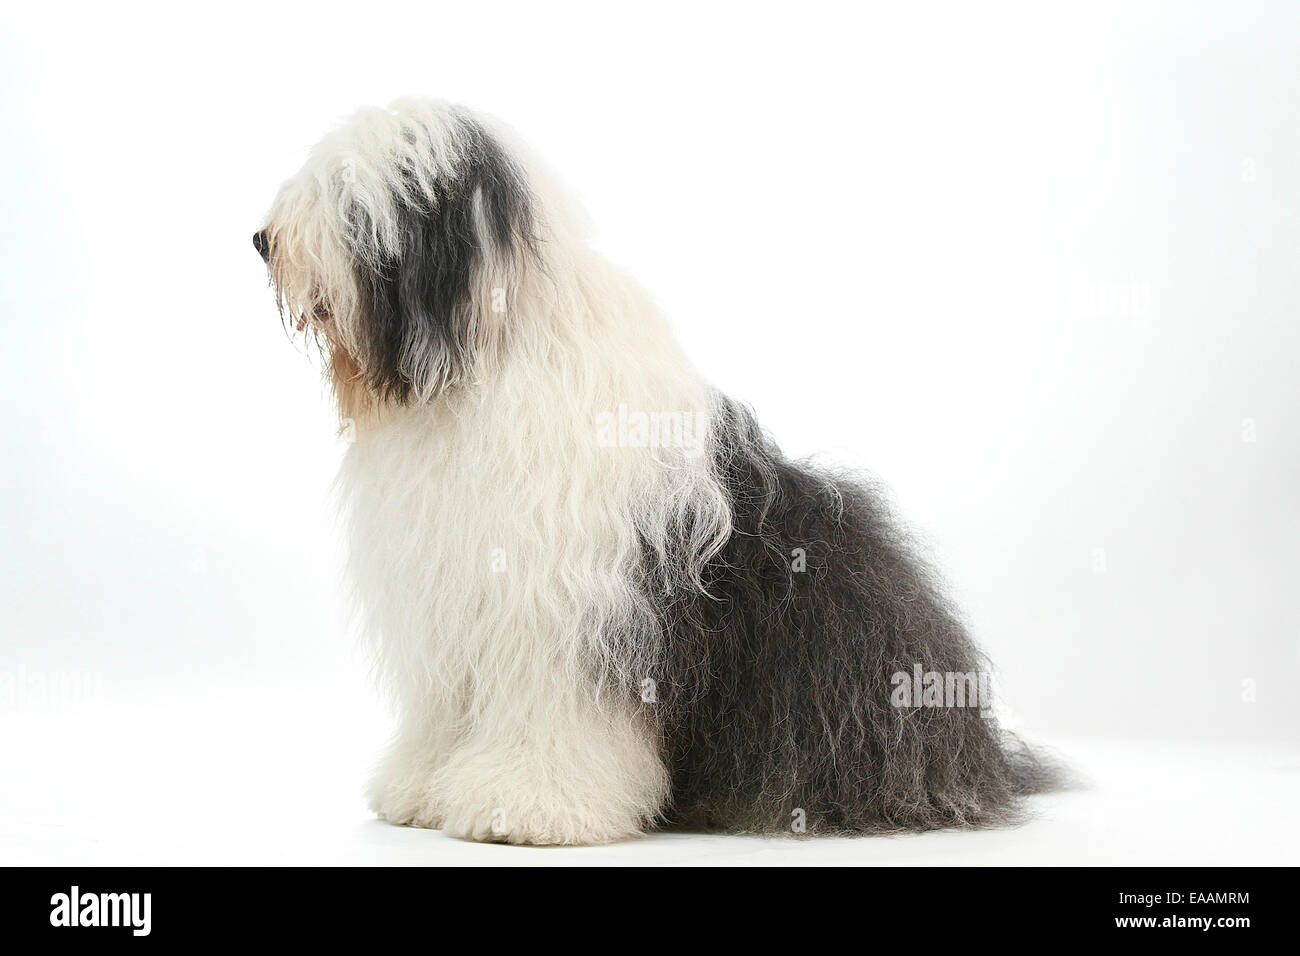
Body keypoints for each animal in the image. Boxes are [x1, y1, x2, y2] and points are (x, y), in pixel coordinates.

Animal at [253, 97, 1055, 842]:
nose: (261, 241)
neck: (483, 363)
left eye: (346, 192)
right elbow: (446, 704)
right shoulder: (450, 594)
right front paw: (421, 788)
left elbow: (553, 713)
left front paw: (529, 803)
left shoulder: (570, 606)